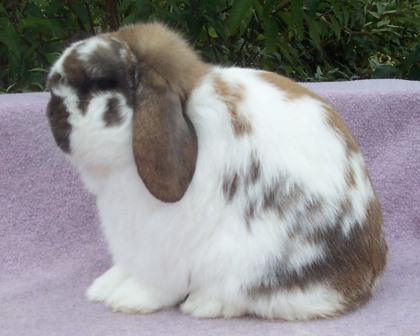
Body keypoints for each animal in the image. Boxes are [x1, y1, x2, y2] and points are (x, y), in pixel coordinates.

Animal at [46, 21, 388, 320]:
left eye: (98, 82)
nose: (51, 103)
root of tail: (364, 278)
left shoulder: (159, 247)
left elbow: (155, 284)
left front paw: (128, 299)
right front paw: (103, 287)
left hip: (250, 263)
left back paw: (203, 304)